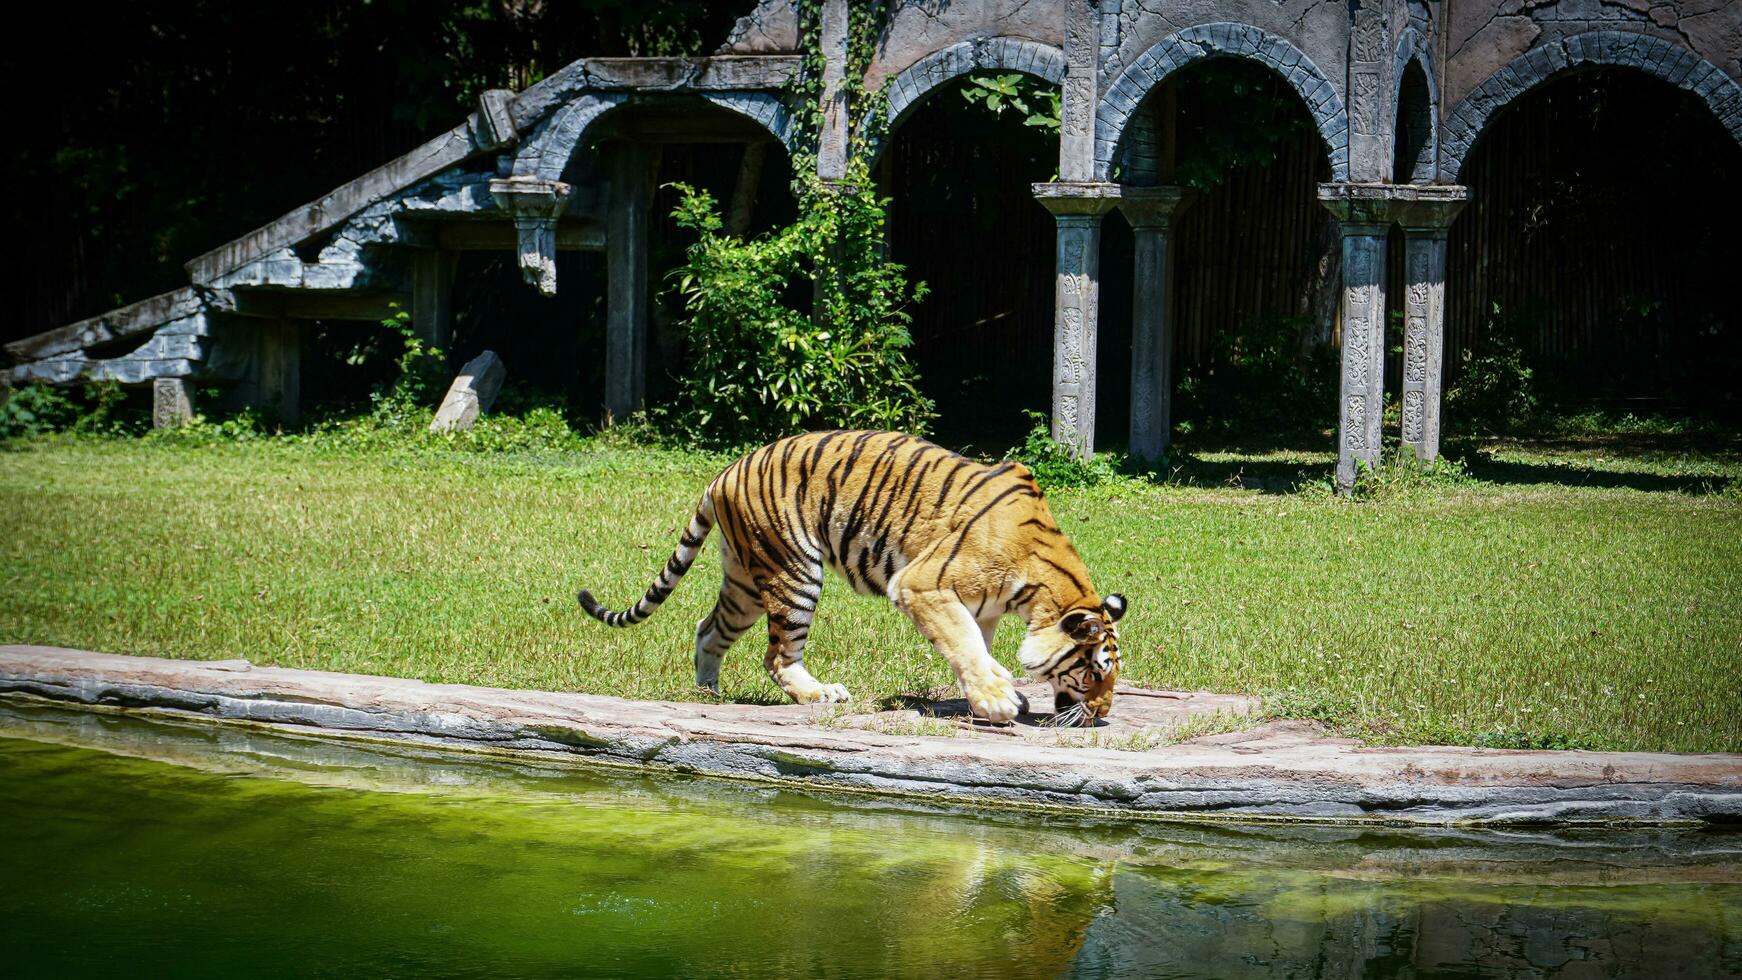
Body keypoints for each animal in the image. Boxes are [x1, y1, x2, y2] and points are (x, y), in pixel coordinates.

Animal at [578, 431, 1128, 727]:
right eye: (1095, 672)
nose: (1102, 715)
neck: (1038, 591)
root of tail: (725, 472)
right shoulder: (922, 585)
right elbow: (965, 646)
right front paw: (997, 701)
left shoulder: (980, 606)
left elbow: (975, 647)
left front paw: (991, 694)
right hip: (795, 571)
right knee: (777, 656)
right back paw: (819, 694)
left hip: (745, 582)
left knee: (708, 629)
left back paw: (708, 694)